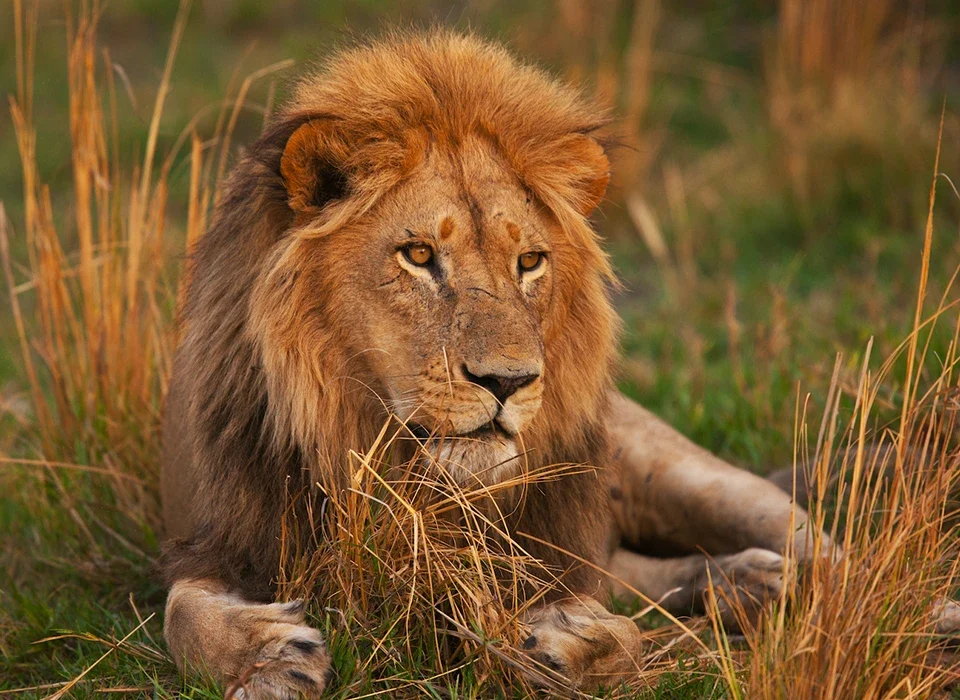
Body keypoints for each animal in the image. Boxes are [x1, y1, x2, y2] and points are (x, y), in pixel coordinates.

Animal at [160, 30, 830, 697]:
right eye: (418, 254)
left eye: (529, 262)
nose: (508, 380)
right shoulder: (225, 540)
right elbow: (181, 614)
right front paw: (271, 657)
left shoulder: (559, 556)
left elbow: (623, 635)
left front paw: (565, 646)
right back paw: (744, 584)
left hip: (692, 478)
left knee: (818, 546)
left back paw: (779, 585)